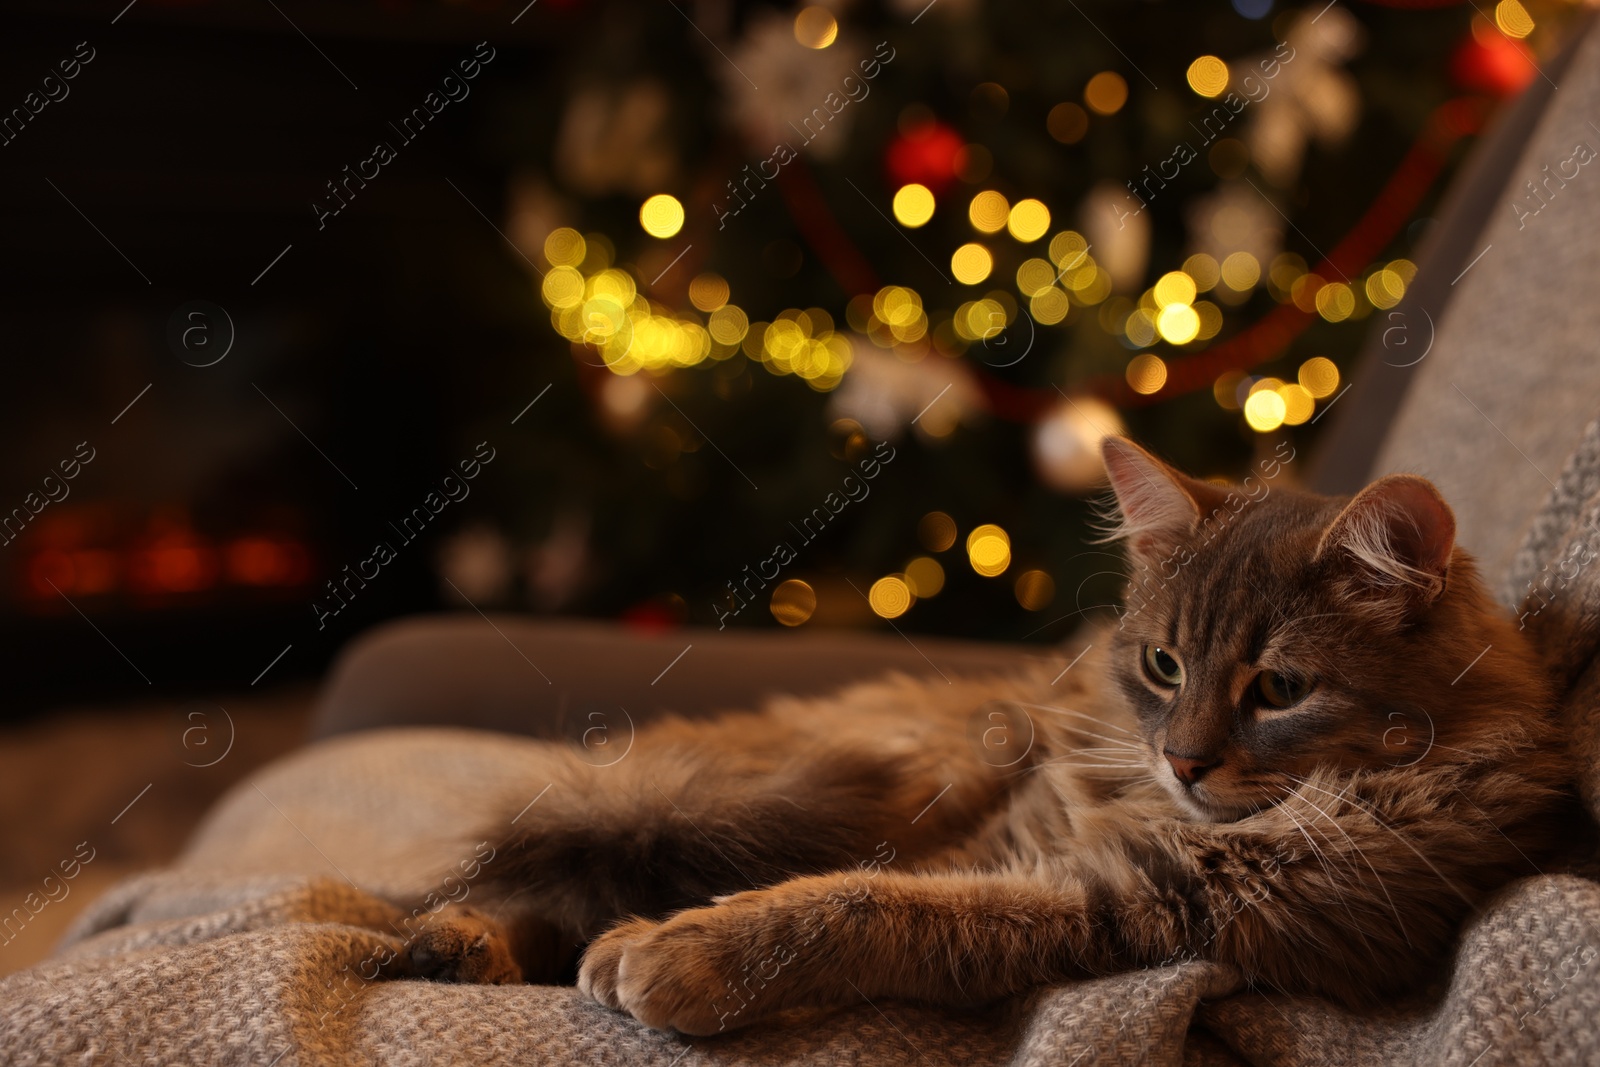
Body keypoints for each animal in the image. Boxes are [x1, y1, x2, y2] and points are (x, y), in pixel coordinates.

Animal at [406, 435, 1580, 1036]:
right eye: (1162, 665)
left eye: (1280, 687)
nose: (1183, 758)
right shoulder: (1004, 839)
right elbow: (855, 888)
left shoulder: (1130, 905)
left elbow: (866, 907)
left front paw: (679, 951)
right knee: (532, 873)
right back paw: (454, 939)